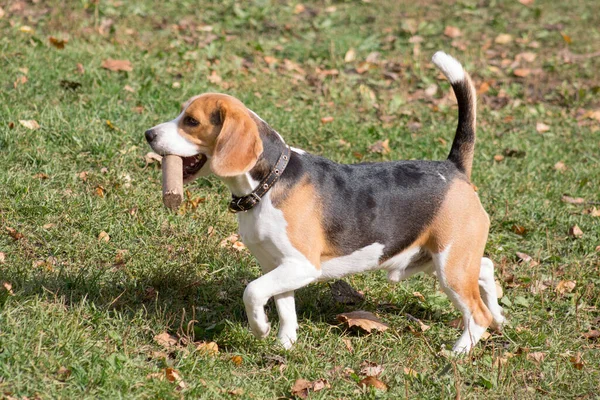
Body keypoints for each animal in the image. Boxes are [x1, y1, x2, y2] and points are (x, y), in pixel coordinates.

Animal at [145, 52, 506, 354]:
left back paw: (459, 351)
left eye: (191, 121)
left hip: (450, 265)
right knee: (486, 268)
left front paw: (260, 328)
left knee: (476, 313)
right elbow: (284, 307)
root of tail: (452, 167)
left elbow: (253, 291)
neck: (269, 183)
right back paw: (500, 315)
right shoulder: (278, 266)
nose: (148, 134)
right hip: (443, 258)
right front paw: (285, 344)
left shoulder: (301, 265)